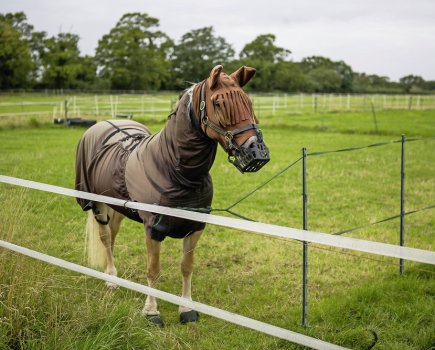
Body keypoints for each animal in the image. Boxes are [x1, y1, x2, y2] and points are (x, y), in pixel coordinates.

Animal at [76, 65, 270, 326]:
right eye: (218, 103)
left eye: (248, 102)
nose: (256, 151)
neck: (178, 172)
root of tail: (103, 124)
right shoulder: (153, 228)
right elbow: (153, 270)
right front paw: (151, 312)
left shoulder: (195, 226)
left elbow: (187, 267)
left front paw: (186, 308)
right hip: (97, 203)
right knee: (106, 238)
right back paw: (111, 280)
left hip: (118, 206)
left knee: (113, 236)